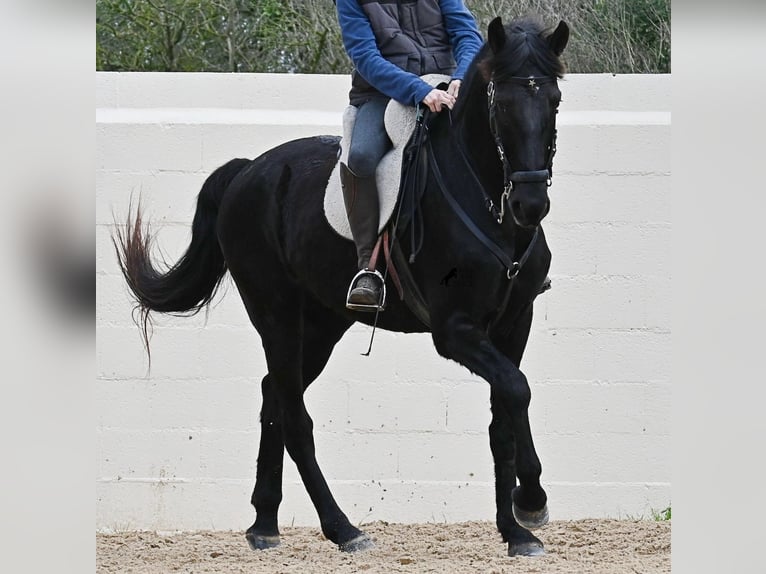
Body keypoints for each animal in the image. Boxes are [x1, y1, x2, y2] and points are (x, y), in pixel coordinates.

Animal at [113, 16, 569, 558]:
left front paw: (517, 525)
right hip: (277, 315)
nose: (530, 204)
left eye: (554, 101)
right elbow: (516, 390)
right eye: (501, 106)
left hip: (322, 324)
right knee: (294, 415)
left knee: (274, 396)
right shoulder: (456, 331)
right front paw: (529, 506)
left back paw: (264, 523)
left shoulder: (514, 321)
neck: (490, 208)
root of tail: (249, 171)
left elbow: (508, 409)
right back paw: (342, 528)